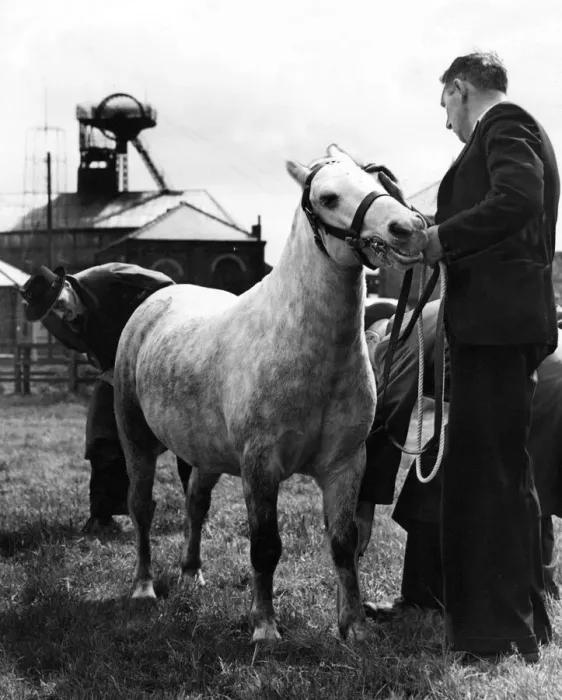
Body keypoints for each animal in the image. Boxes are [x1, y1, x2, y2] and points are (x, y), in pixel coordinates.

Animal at [113, 144, 428, 643]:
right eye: (328, 197)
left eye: (378, 181)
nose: (408, 228)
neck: (307, 348)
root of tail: (158, 299)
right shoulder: (260, 466)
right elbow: (264, 545)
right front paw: (264, 627)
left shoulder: (345, 464)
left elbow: (343, 544)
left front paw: (354, 627)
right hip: (137, 441)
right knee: (142, 508)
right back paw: (144, 587)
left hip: (207, 455)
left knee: (196, 504)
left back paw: (191, 573)